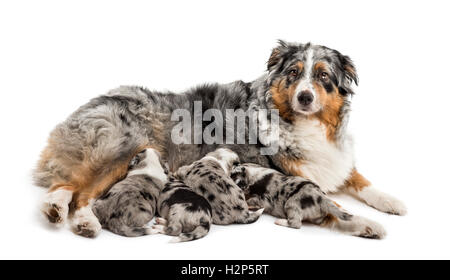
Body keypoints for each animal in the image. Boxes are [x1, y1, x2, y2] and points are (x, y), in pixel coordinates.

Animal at [232, 163, 386, 240]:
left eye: (234, 176)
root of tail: (322, 200)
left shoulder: (263, 199)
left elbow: (251, 201)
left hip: (291, 204)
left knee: (296, 224)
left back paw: (280, 221)